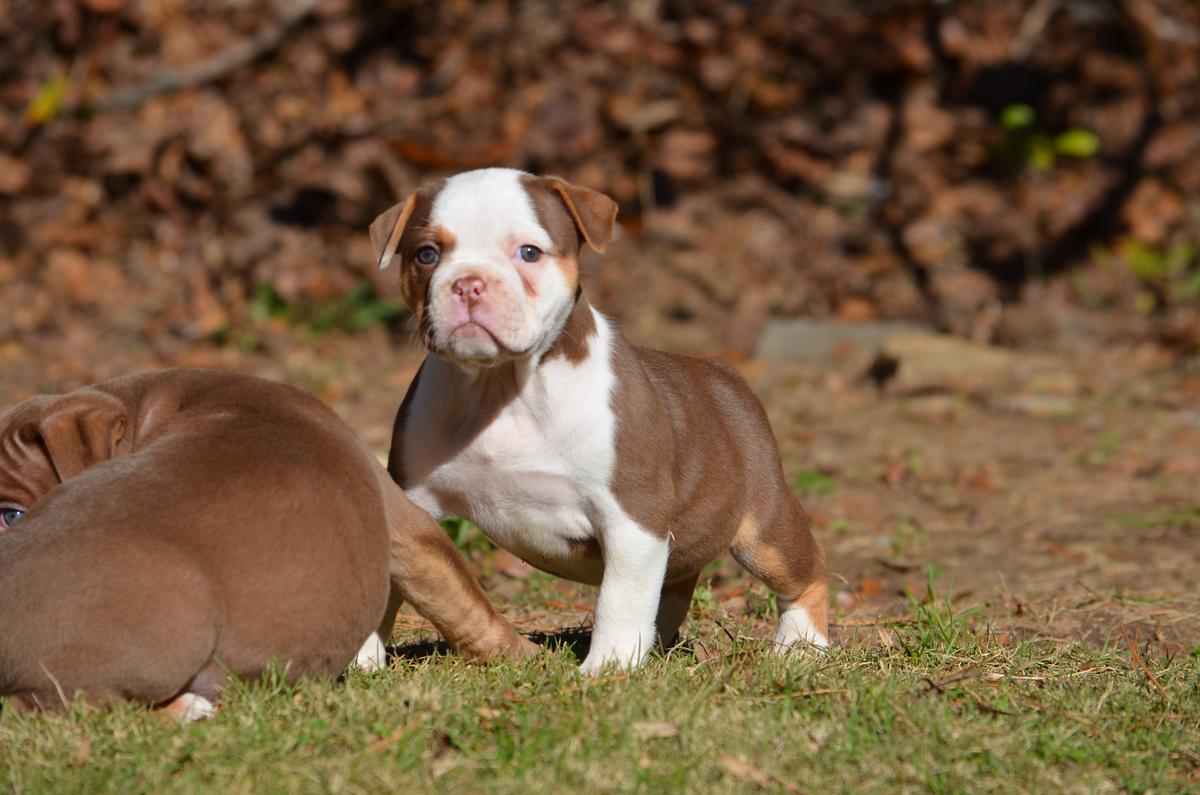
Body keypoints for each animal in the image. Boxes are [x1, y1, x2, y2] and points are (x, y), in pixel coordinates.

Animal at [372, 166, 825, 672]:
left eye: (529, 252)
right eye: (427, 255)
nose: (469, 283)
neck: (502, 386)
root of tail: (723, 372)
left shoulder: (633, 516)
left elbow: (619, 598)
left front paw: (608, 667)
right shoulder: (410, 499)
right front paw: (364, 659)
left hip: (763, 523)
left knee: (804, 570)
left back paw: (803, 644)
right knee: (674, 580)